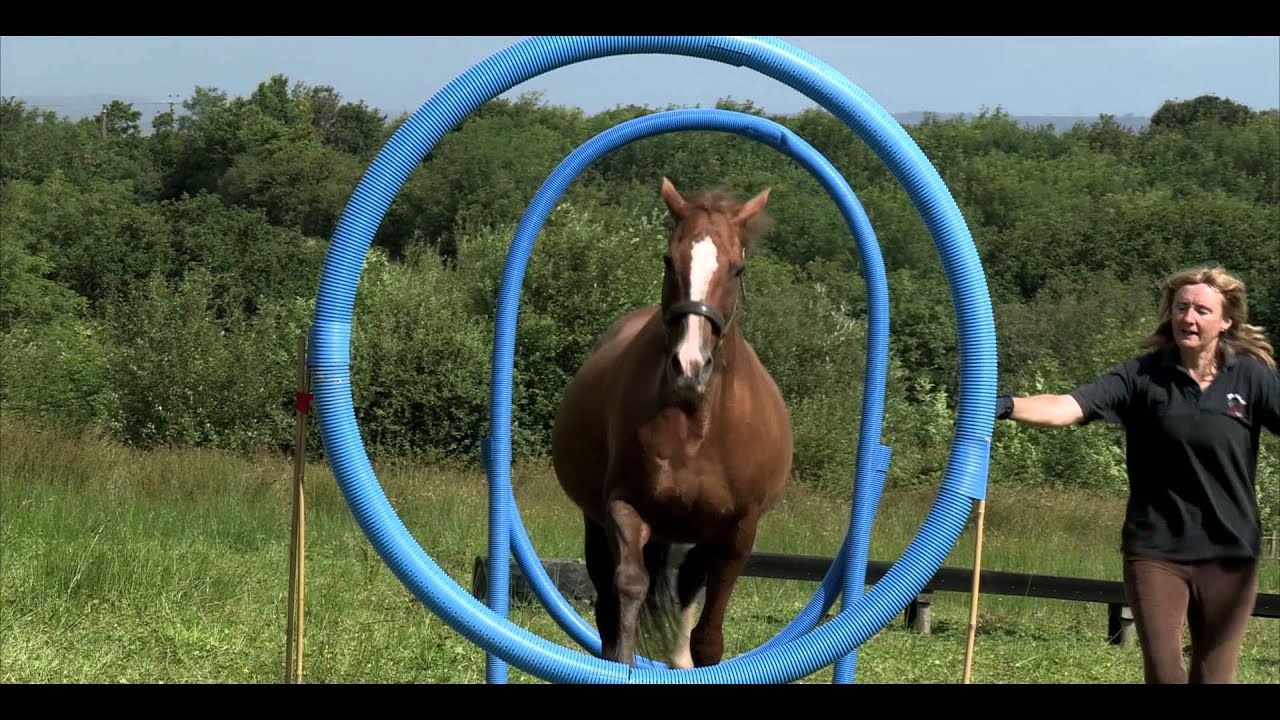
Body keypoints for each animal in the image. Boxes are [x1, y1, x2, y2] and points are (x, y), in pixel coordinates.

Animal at [550, 177, 794, 669]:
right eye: (668, 260)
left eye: (737, 269)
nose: (689, 365)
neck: (697, 424)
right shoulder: (623, 508)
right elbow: (627, 591)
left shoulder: (737, 533)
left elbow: (709, 634)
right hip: (598, 526)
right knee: (611, 603)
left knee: (686, 595)